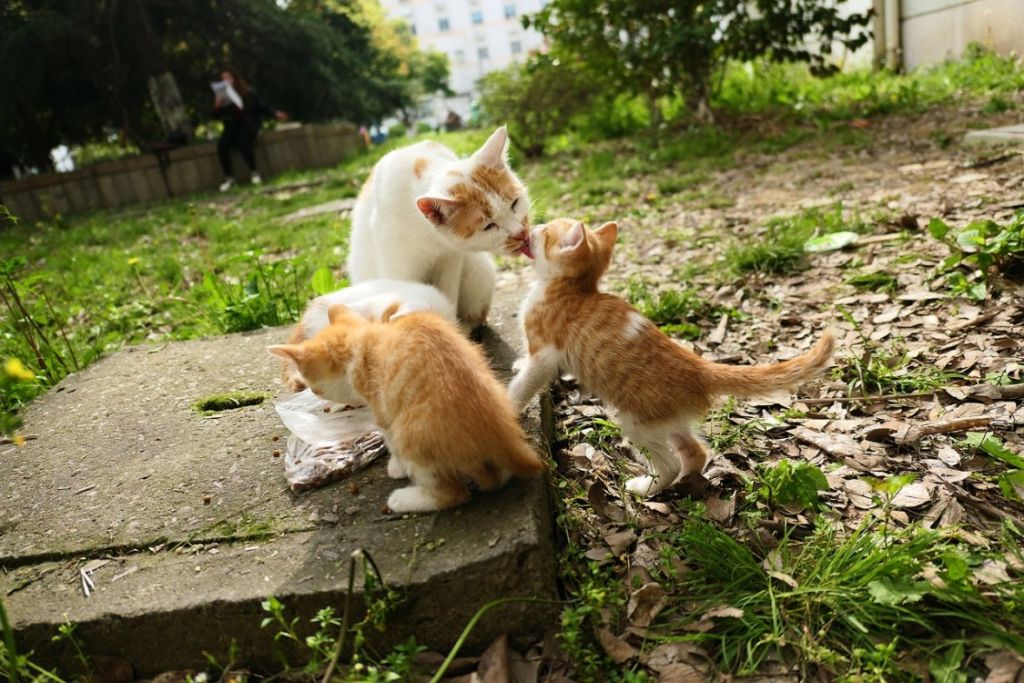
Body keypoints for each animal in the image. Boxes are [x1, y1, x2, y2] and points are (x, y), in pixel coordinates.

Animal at [268, 305, 548, 511]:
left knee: (454, 493)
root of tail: (502, 439)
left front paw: (396, 466)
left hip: (414, 437)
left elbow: (389, 438)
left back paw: (404, 499)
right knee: (495, 479)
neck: (365, 340)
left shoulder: (383, 407)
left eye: (316, 390)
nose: (321, 398)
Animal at [348, 129, 532, 331]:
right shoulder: (396, 267)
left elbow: (448, 296)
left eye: (514, 204)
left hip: (479, 269)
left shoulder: (451, 258)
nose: (521, 233)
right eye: (489, 226)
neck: (430, 237)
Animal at [507, 219, 835, 497]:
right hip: (668, 421)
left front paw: (508, 408)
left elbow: (525, 383)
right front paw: (517, 364)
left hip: (636, 422)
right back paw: (688, 482)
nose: (530, 227)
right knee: (695, 451)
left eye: (544, 230)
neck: (571, 288)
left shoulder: (545, 355)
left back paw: (645, 489)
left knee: (668, 464)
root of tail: (697, 366)